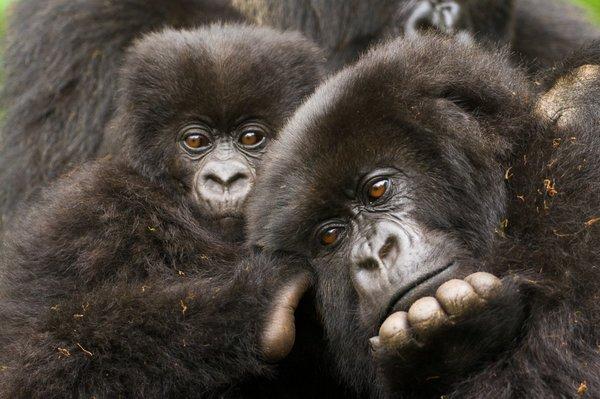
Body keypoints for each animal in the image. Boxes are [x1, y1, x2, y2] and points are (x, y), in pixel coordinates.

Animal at [0, 26, 328, 398]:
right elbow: (28, 365)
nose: (225, 179)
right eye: (196, 141)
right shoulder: (80, 219)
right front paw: (255, 302)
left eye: (251, 137)